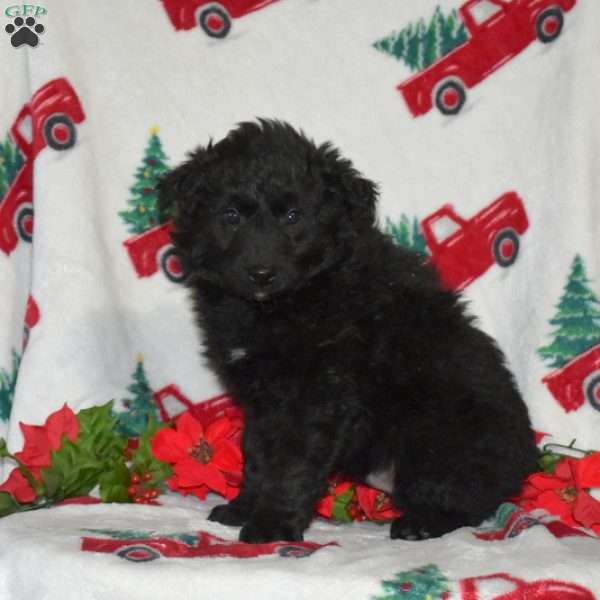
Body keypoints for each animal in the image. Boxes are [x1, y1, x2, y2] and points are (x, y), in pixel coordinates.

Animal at [157, 119, 536, 540]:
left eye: (293, 216)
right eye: (230, 215)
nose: (261, 273)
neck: (280, 304)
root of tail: (526, 464)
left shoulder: (316, 394)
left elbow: (290, 463)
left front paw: (271, 526)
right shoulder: (263, 400)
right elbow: (256, 454)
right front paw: (243, 508)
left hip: (438, 439)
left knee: (461, 500)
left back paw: (419, 524)